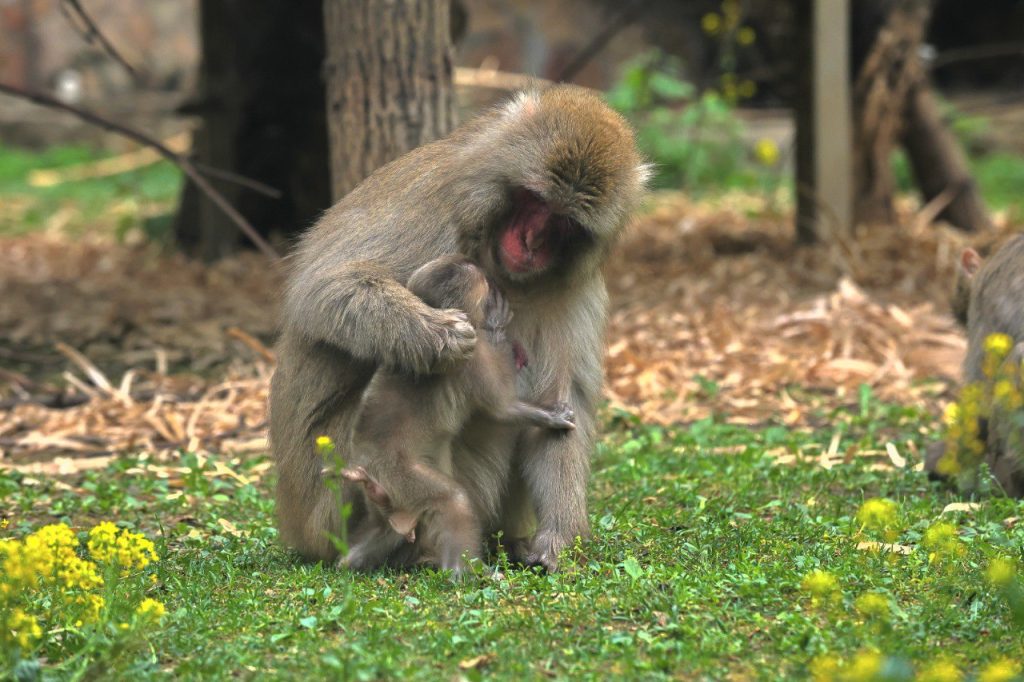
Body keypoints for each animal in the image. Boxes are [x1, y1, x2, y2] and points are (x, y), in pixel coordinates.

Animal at [335, 254, 577, 573]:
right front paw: (551, 416)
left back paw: (347, 562)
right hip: (397, 474)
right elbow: (502, 410)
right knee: (454, 502)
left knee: (385, 529)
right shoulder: (474, 358)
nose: (491, 281)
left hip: (383, 494)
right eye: (483, 282)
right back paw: (466, 573)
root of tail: (364, 467)